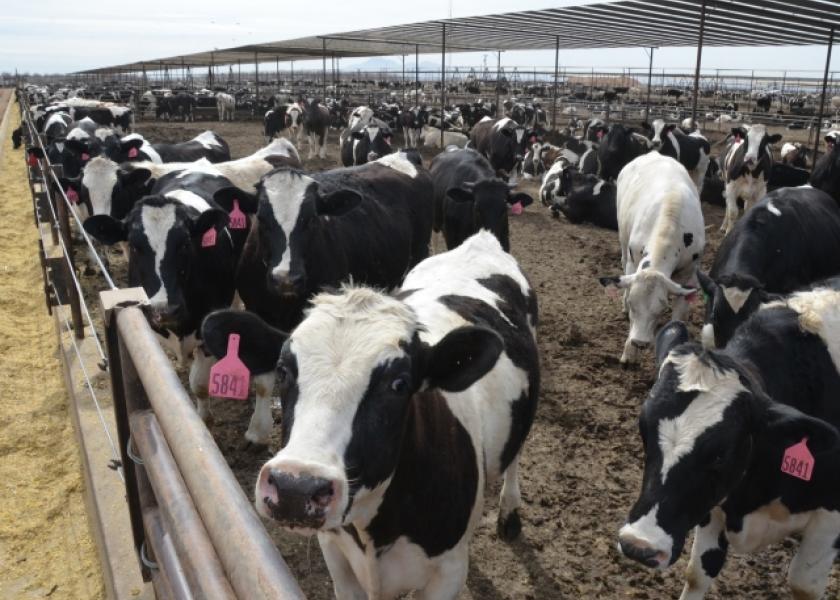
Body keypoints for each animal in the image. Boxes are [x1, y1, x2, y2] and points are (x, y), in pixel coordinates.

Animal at [221, 155, 434, 446]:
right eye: (262, 219)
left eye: (311, 219)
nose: (286, 278)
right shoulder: (257, 311)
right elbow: (264, 381)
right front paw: (258, 431)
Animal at [592, 152, 704, 364]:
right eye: (633, 305)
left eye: (661, 309)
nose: (640, 342)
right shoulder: (633, 261)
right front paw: (629, 353)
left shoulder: (689, 273)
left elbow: (679, 314)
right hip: (623, 239)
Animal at [616, 290, 840, 600]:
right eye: (644, 430)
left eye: (721, 455)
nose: (639, 545)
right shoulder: (712, 507)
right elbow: (697, 574)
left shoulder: (831, 519)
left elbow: (803, 584)